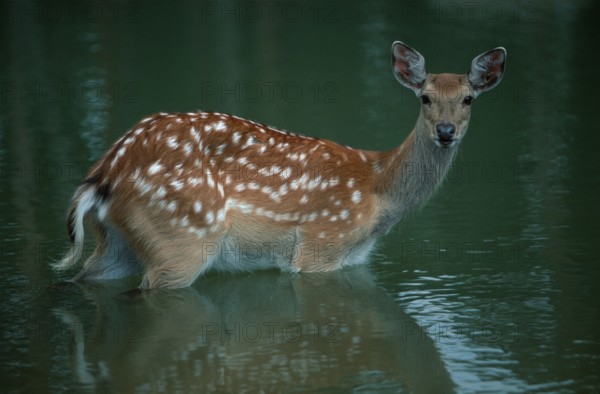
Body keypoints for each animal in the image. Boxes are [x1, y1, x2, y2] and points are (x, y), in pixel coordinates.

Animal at [56, 41, 506, 290]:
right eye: (425, 97)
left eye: (468, 99)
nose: (445, 131)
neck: (377, 192)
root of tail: (105, 174)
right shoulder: (320, 247)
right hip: (181, 239)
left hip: (117, 244)